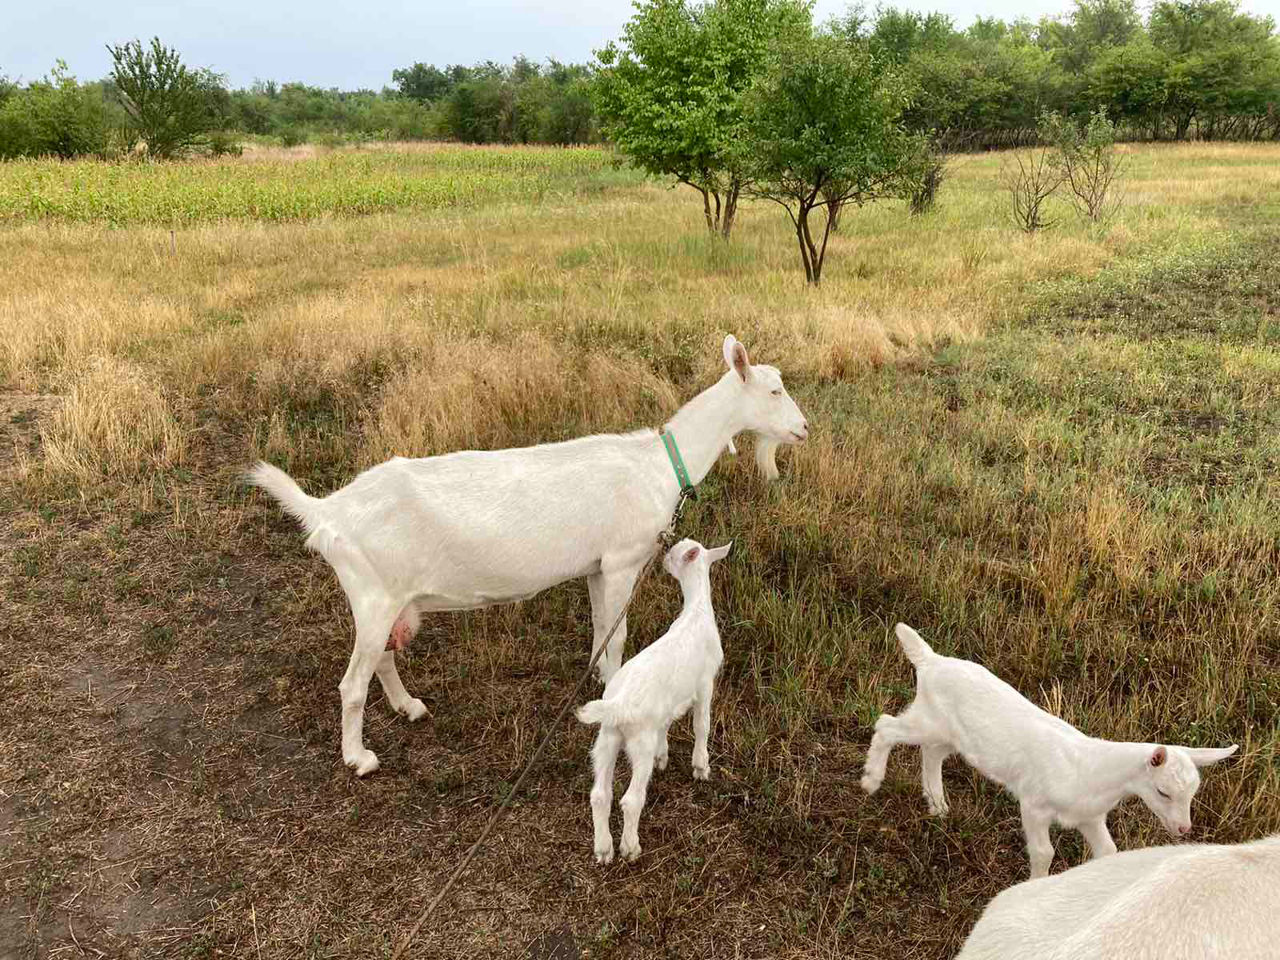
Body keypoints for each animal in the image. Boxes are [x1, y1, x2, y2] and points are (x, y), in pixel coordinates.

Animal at [245, 335, 803, 778]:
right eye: (774, 391)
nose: (803, 429)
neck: (659, 464)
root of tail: (329, 511)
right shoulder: (624, 560)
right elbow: (618, 633)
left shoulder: (597, 566)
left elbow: (601, 628)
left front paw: (600, 682)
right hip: (374, 595)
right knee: (352, 683)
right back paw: (359, 758)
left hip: (389, 601)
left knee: (381, 657)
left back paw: (409, 707)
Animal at [578, 542, 732, 865]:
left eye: (674, 554)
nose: (663, 558)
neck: (697, 611)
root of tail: (620, 705)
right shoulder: (705, 682)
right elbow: (702, 725)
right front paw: (701, 766)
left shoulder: (667, 705)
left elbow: (668, 724)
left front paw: (664, 756)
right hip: (639, 742)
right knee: (631, 799)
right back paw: (630, 847)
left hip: (606, 738)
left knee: (599, 794)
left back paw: (603, 848)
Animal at [860, 624, 1239, 880]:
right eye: (1163, 791)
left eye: (1192, 794)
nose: (1183, 830)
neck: (1091, 770)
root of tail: (931, 661)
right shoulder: (1034, 803)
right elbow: (1044, 851)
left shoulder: (1089, 816)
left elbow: (1109, 852)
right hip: (929, 719)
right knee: (887, 725)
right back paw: (871, 780)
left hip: (949, 734)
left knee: (931, 753)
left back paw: (937, 805)